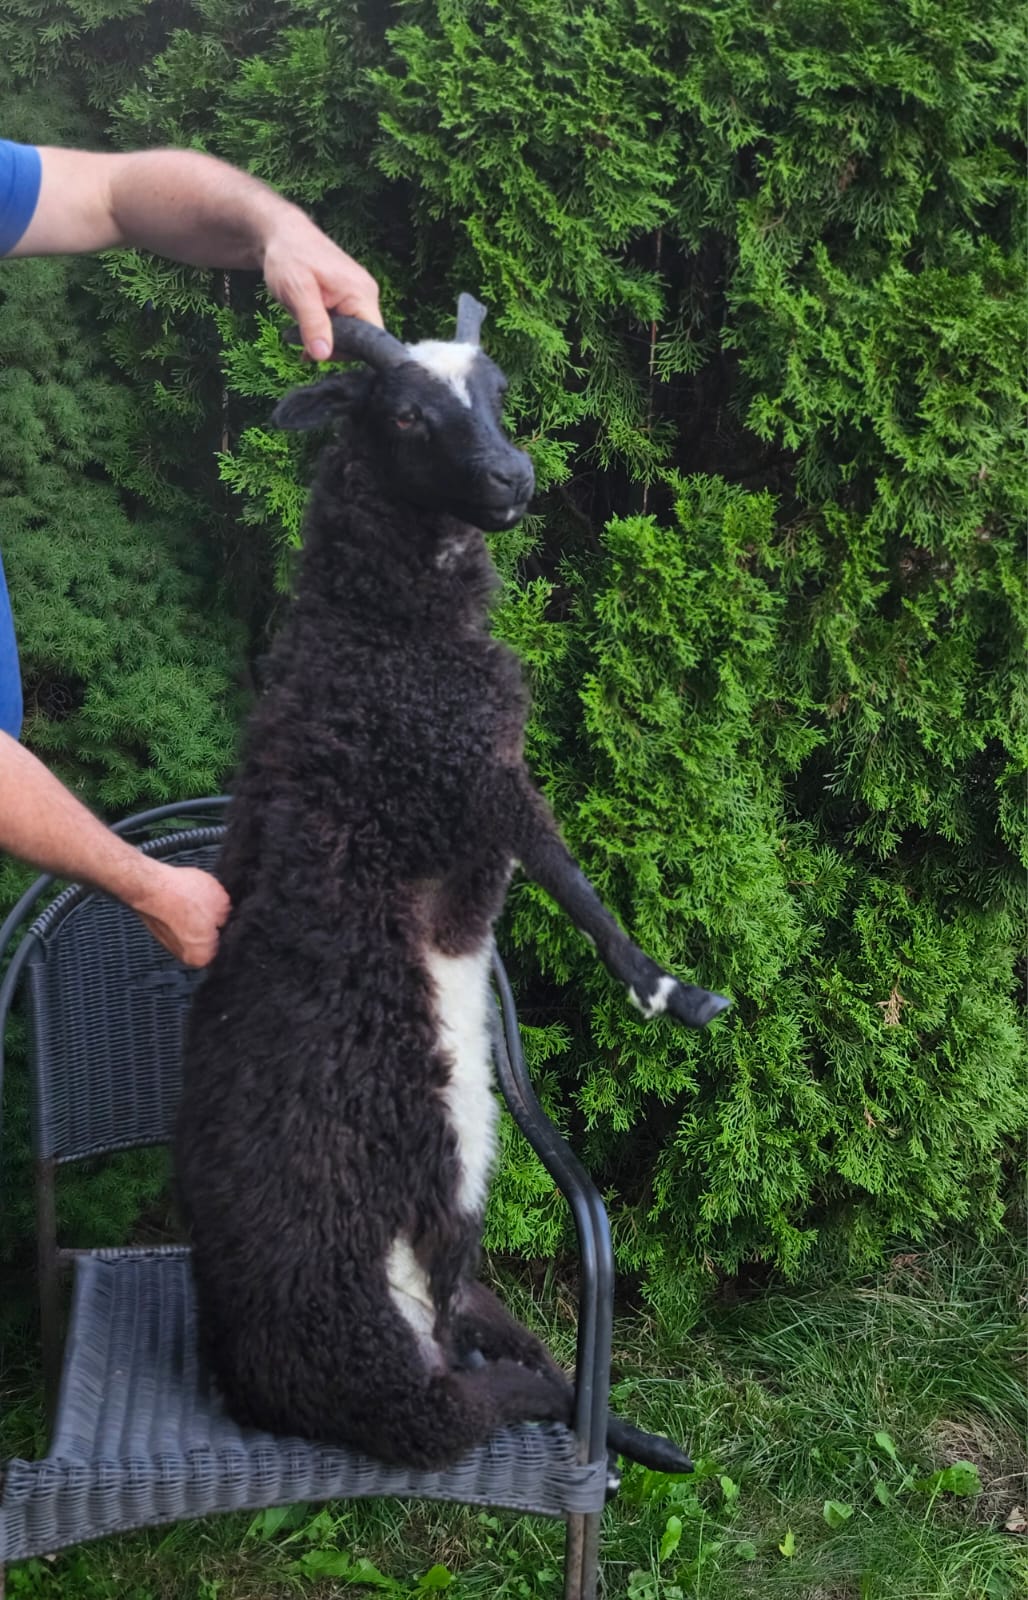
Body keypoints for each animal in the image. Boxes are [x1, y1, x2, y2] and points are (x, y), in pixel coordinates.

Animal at [174, 295, 729, 1476]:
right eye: (403, 415)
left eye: (498, 390)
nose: (514, 478)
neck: (379, 633)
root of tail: (261, 1382)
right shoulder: (465, 775)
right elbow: (568, 871)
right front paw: (668, 990)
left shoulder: (473, 838)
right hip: (410, 1341)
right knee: (493, 1399)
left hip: (467, 1282)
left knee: (532, 1363)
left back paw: (643, 1440)